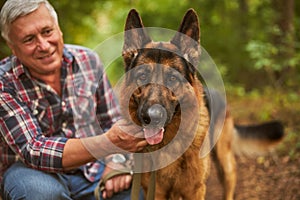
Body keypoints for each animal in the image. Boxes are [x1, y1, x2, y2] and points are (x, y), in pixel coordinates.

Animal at [118, 8, 284, 199]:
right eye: (143, 76)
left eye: (172, 78)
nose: (151, 117)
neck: (168, 144)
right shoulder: (156, 192)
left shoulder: (195, 190)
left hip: (224, 163)